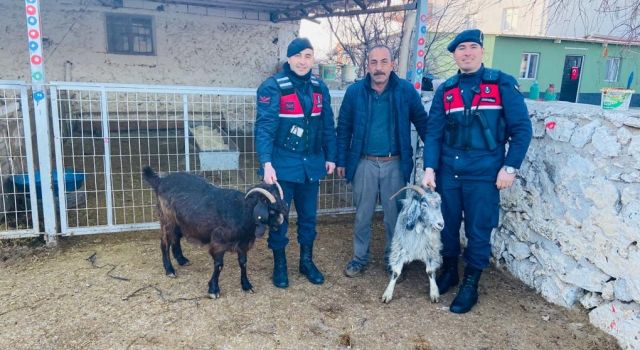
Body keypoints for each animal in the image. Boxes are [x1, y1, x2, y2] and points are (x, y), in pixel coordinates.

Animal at [144, 167, 288, 298]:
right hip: (167, 219)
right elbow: (219, 265)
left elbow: (243, 263)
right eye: (271, 210)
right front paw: (213, 290)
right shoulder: (218, 243)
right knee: (165, 242)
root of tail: (160, 181)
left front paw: (247, 286)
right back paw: (169, 270)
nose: (280, 222)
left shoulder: (243, 244)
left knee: (176, 238)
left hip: (180, 222)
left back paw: (182, 260)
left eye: (282, 205)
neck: (240, 212)